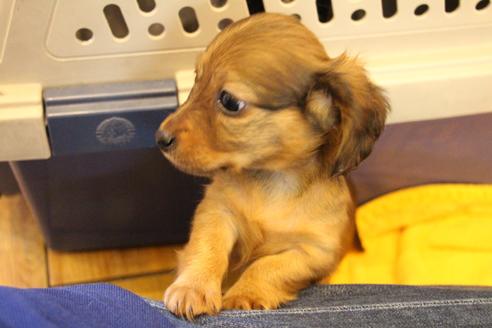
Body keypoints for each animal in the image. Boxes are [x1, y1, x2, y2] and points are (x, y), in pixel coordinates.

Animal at [156, 12, 390, 318]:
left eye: (230, 101)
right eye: (198, 78)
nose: (160, 138)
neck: (273, 181)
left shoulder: (314, 252)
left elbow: (267, 266)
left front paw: (245, 293)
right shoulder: (217, 210)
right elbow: (207, 247)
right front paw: (192, 287)